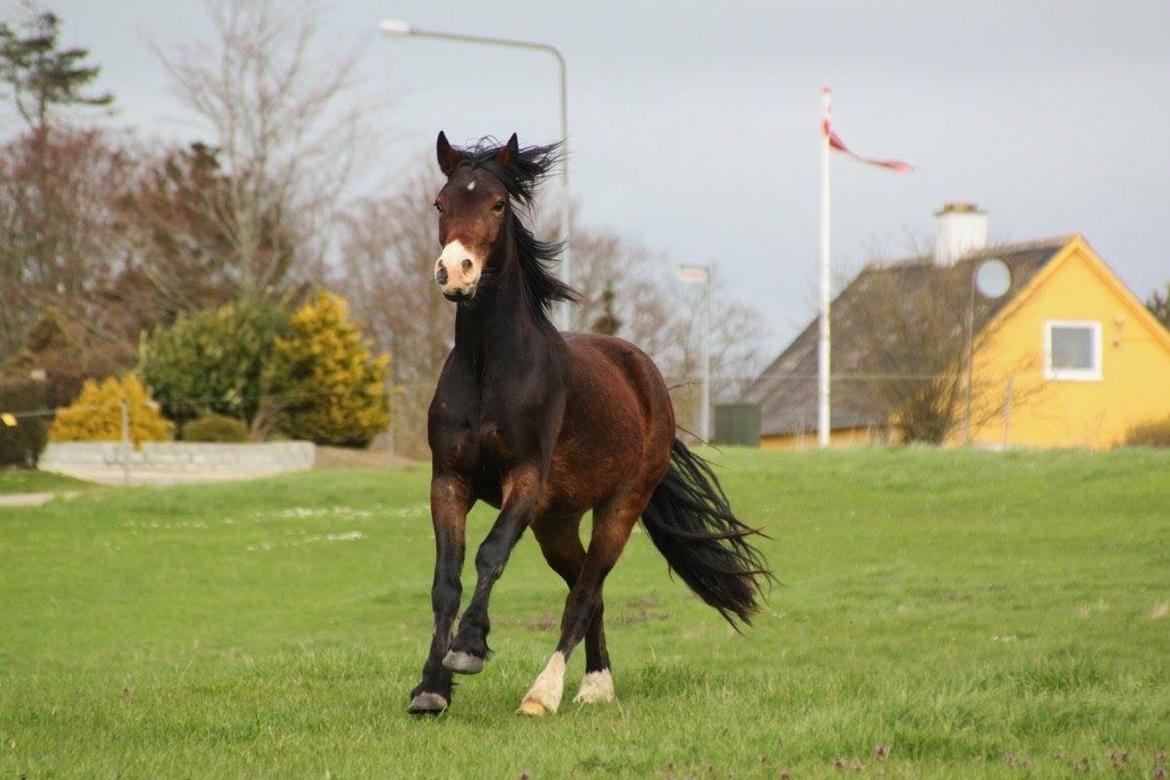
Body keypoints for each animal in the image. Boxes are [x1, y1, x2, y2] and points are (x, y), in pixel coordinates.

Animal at [407, 130, 772, 715]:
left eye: (498, 204)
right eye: (441, 204)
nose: (456, 271)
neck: (489, 367)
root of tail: (646, 376)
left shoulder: (524, 479)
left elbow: (489, 557)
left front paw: (468, 650)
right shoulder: (449, 480)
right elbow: (446, 579)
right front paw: (431, 688)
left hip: (620, 507)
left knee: (586, 591)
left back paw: (546, 694)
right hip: (555, 522)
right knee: (585, 587)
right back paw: (596, 683)